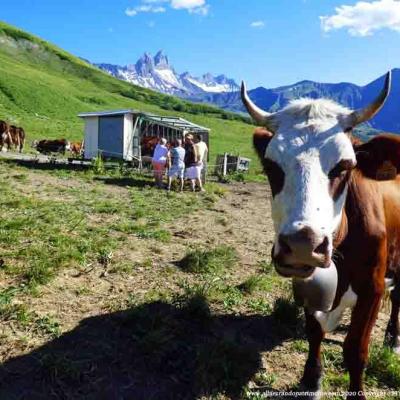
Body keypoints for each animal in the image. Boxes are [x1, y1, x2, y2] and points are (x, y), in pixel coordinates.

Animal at [242, 72, 398, 400]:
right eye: (271, 166)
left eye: (345, 166)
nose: (303, 245)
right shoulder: (309, 284)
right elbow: (315, 331)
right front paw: (311, 378)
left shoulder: (373, 288)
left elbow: (356, 350)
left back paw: (393, 338)